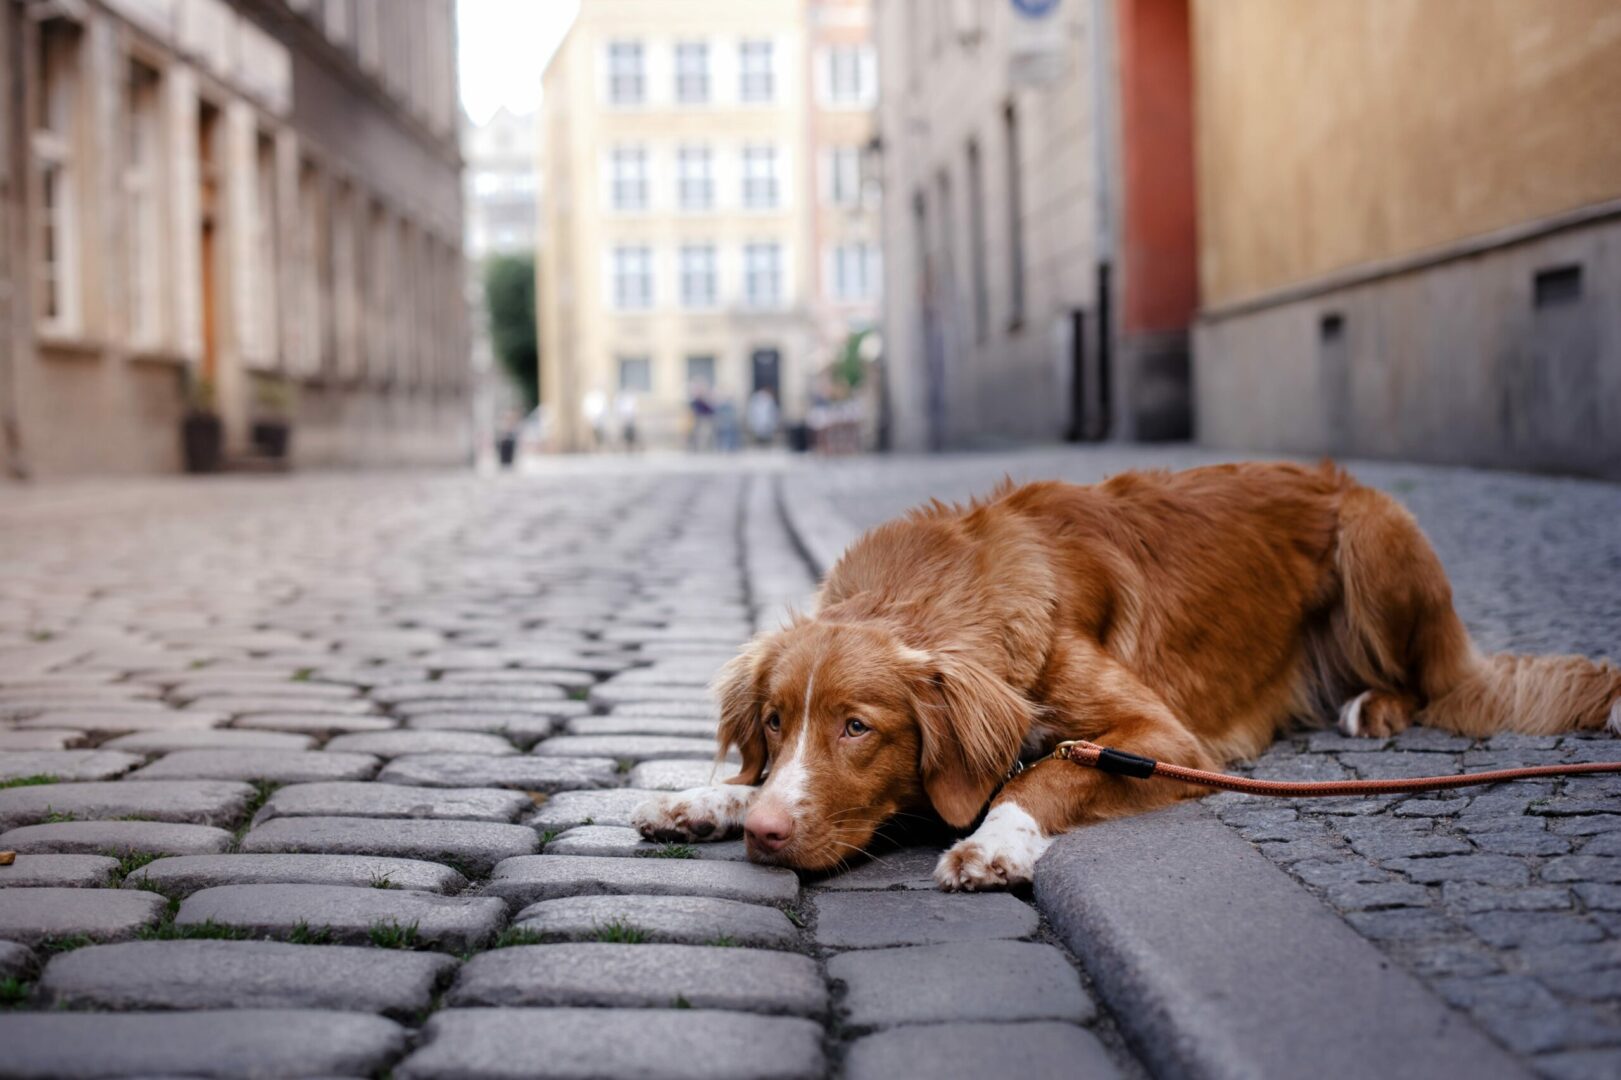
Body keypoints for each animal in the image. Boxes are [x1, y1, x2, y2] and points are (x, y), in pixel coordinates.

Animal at [635, 460, 1621, 882]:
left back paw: (1373, 704)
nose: (767, 836)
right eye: (774, 722)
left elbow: (1041, 772)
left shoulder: (1160, 738)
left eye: (857, 727)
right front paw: (704, 800)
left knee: (1436, 684)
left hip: (1375, 535)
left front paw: (993, 842)